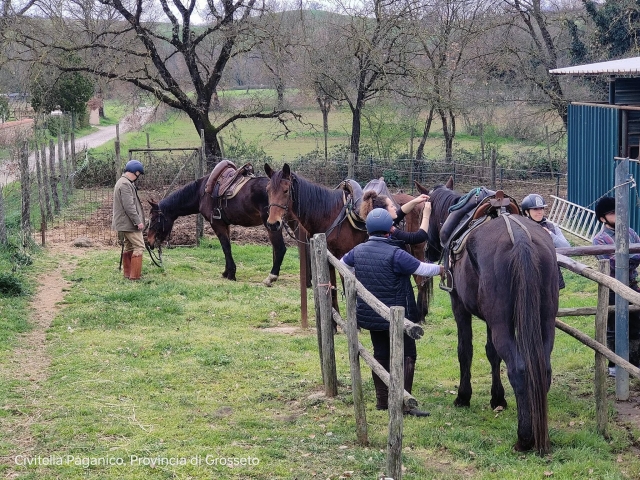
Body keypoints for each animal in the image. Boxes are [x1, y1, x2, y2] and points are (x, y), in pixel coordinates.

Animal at [146, 175, 289, 286]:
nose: (149, 242)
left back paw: (271, 277)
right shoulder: (225, 225)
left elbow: (225, 247)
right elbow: (227, 247)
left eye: (153, 219)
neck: (201, 193)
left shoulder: (217, 224)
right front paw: (227, 272)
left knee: (280, 248)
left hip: (272, 225)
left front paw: (231, 274)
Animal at [264, 162, 430, 323]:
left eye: (286, 190)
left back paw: (420, 315)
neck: (329, 214)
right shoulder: (329, 260)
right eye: (268, 190)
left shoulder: (343, 258)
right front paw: (334, 323)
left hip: (416, 249)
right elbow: (331, 288)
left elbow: (347, 287)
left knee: (421, 279)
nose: (273, 223)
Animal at [415, 177, 558, 454]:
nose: (427, 250)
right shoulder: (492, 320)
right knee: (542, 369)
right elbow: (492, 354)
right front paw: (497, 398)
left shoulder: (460, 307)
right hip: (543, 322)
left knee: (519, 369)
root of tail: (521, 240)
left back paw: (525, 437)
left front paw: (463, 396)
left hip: (503, 324)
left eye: (428, 214)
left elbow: (465, 350)